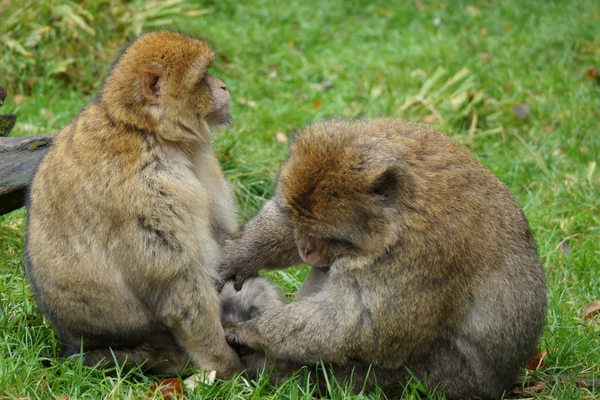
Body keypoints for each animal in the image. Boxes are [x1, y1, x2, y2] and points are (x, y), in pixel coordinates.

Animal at [25, 30, 241, 378]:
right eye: (203, 77)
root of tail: (74, 341)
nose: (222, 86)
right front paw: (228, 366)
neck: (142, 127)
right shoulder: (149, 190)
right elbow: (180, 287)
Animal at [219, 119, 548, 400]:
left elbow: (363, 327)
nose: (305, 249)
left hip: (446, 381)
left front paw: (252, 332)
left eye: (326, 234)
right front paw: (241, 256)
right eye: (298, 222)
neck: (397, 215)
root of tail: (503, 382)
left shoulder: (420, 253)